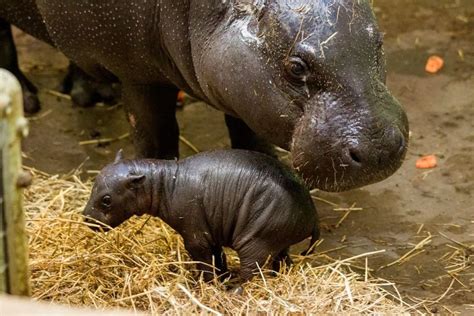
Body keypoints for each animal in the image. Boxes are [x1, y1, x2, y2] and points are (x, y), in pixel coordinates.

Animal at [0, 0, 408, 191]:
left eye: (378, 42)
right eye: (296, 67)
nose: (379, 149)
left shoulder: (246, 91)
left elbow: (251, 136)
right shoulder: (139, 76)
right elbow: (156, 135)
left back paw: (92, 92)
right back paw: (29, 98)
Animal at [83, 150, 320, 286]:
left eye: (106, 199)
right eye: (94, 184)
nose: (85, 218)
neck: (165, 182)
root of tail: (312, 212)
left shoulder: (195, 236)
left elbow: (204, 263)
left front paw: (205, 285)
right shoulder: (210, 232)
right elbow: (218, 258)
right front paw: (221, 278)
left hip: (255, 242)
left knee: (252, 273)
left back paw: (236, 291)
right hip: (278, 241)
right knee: (282, 261)